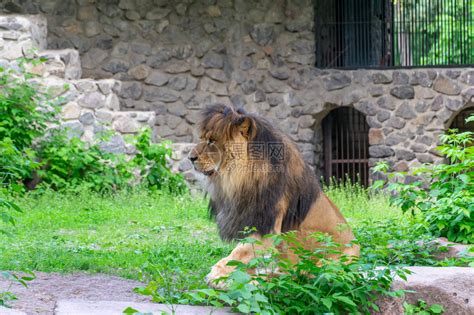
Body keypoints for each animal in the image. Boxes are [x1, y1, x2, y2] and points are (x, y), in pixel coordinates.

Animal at [189, 104, 360, 288]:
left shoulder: (267, 223)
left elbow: (242, 250)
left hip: (324, 262)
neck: (239, 178)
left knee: (298, 275)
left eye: (211, 141)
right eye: (203, 138)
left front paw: (218, 274)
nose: (190, 158)